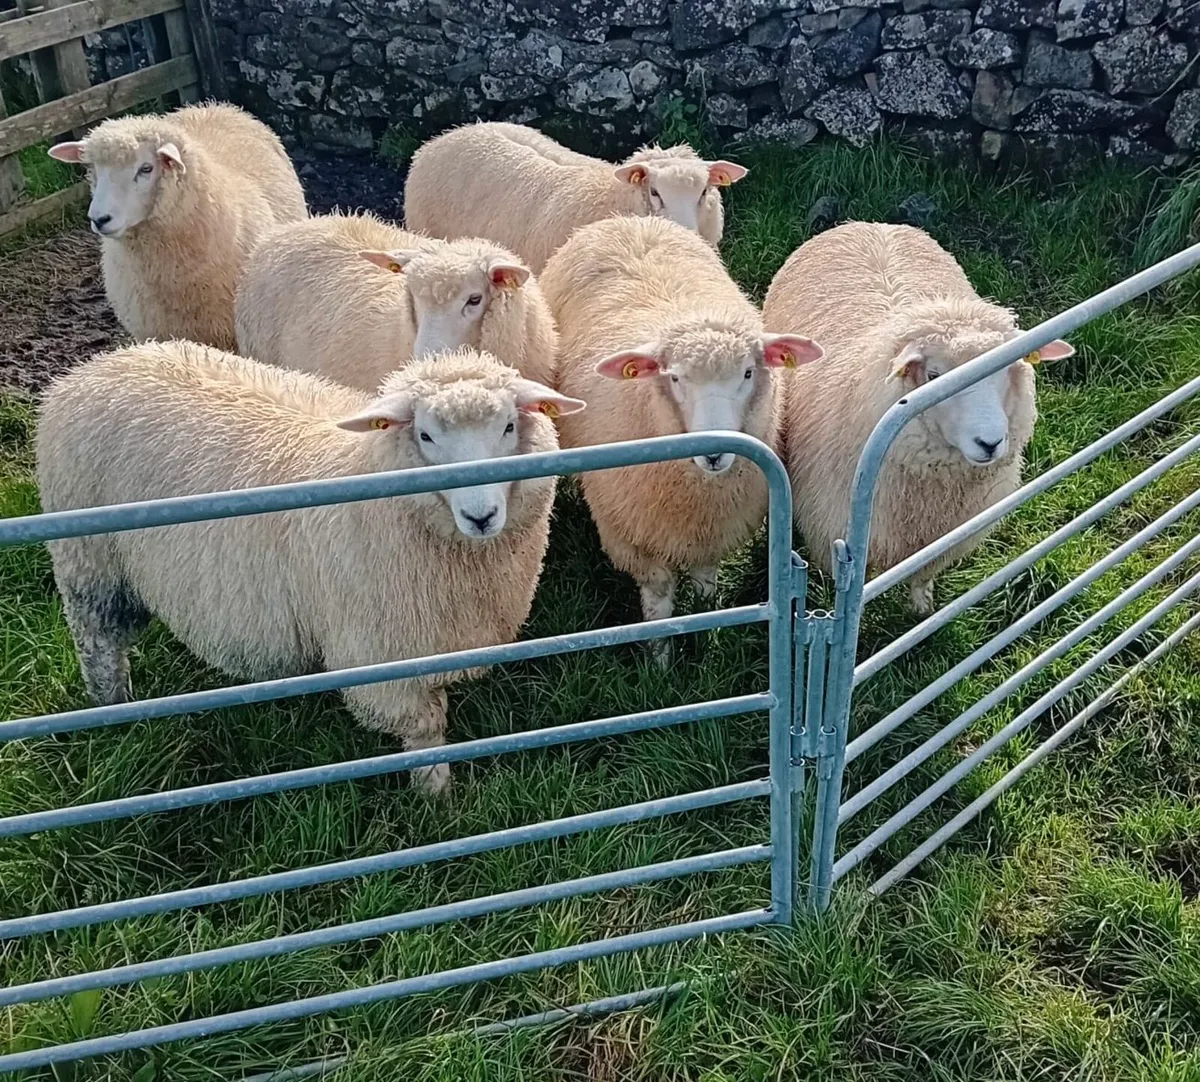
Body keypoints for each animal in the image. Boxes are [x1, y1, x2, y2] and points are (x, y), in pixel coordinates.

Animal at [36, 342, 585, 794]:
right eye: (426, 435)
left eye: (508, 427)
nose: (481, 516)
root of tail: (90, 369)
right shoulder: (383, 653)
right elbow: (425, 731)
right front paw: (437, 800)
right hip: (90, 564)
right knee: (100, 644)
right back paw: (114, 711)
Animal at [540, 215, 822, 651]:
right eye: (674, 377)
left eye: (748, 372)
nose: (714, 452)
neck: (695, 498)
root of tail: (629, 220)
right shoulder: (634, 535)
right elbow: (659, 603)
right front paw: (660, 656)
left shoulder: (713, 529)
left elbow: (705, 588)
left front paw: (706, 640)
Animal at [763, 221, 1074, 615]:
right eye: (934, 375)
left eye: (1008, 369)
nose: (990, 442)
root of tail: (868, 224)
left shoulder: (945, 537)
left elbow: (924, 574)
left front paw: (922, 607)